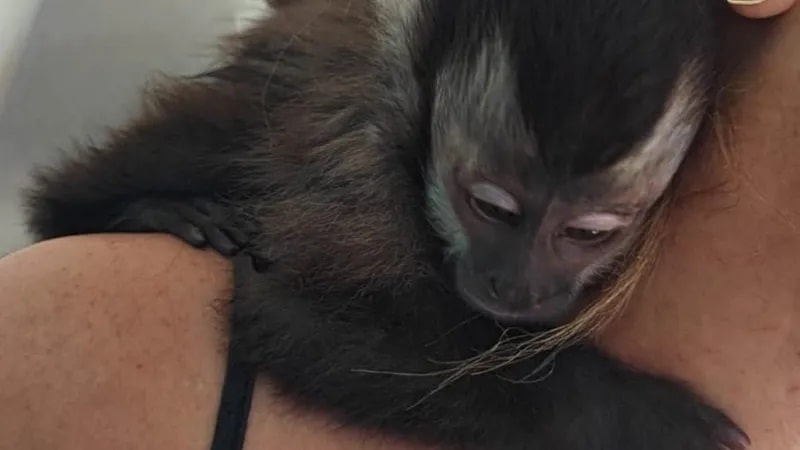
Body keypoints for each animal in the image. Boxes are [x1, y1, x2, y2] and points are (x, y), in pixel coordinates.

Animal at [25, 0, 752, 450]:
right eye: (492, 209)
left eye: (587, 235)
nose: (516, 286)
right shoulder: (363, 142)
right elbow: (284, 312)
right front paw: (629, 415)